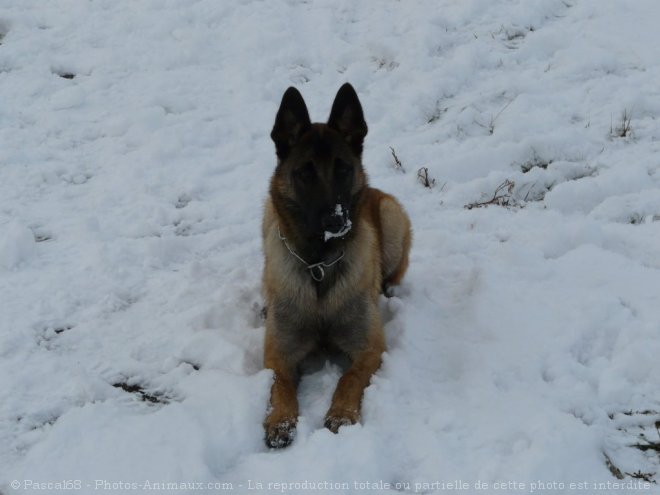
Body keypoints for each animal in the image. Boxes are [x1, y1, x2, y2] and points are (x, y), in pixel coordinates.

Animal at [260, 84, 410, 450]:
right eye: (305, 172)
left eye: (342, 168)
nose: (336, 221)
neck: (318, 265)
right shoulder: (278, 354)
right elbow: (280, 385)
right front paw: (280, 420)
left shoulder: (370, 348)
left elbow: (349, 377)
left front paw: (341, 414)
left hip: (392, 216)